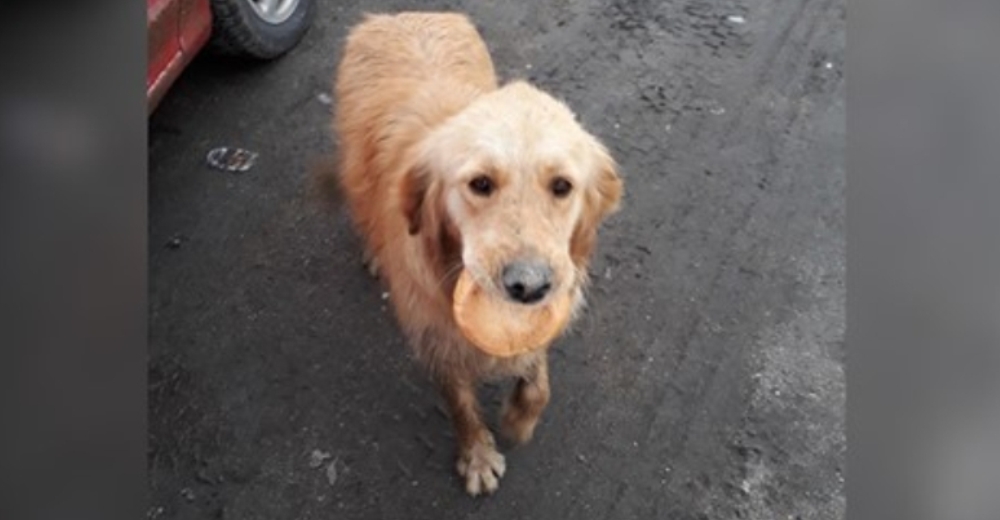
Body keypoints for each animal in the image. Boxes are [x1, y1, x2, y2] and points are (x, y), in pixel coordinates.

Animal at [332, 13, 620, 496]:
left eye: (562, 186)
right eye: (480, 184)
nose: (528, 285)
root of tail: (399, 15)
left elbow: (538, 382)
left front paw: (520, 420)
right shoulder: (436, 337)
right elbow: (460, 404)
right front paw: (478, 456)